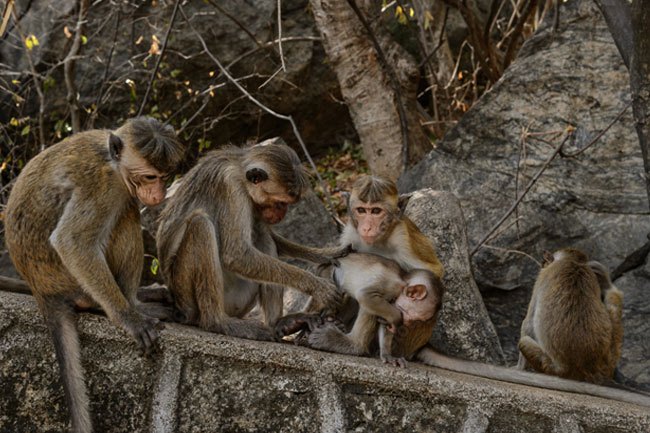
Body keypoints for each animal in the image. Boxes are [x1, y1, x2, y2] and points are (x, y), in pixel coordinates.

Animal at [3, 116, 185, 433]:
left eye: (165, 176)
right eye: (150, 177)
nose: (160, 193)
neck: (113, 161)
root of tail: (43, 291)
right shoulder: (104, 186)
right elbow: (72, 241)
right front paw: (129, 318)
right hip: (72, 283)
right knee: (126, 213)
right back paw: (132, 305)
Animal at [155, 138, 341, 341]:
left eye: (285, 204)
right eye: (281, 203)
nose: (282, 214)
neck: (239, 168)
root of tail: (178, 306)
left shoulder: (253, 202)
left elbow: (269, 237)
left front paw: (326, 254)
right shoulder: (230, 187)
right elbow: (236, 254)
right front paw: (316, 285)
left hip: (239, 301)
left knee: (263, 236)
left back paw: (280, 324)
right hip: (188, 296)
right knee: (200, 225)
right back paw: (217, 322)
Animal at [516, 248, 624, 384]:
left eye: (544, 262)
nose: (542, 264)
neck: (573, 261)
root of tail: (585, 371)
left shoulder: (542, 277)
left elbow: (528, 325)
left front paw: (519, 368)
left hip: (551, 368)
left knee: (524, 341)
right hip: (607, 357)